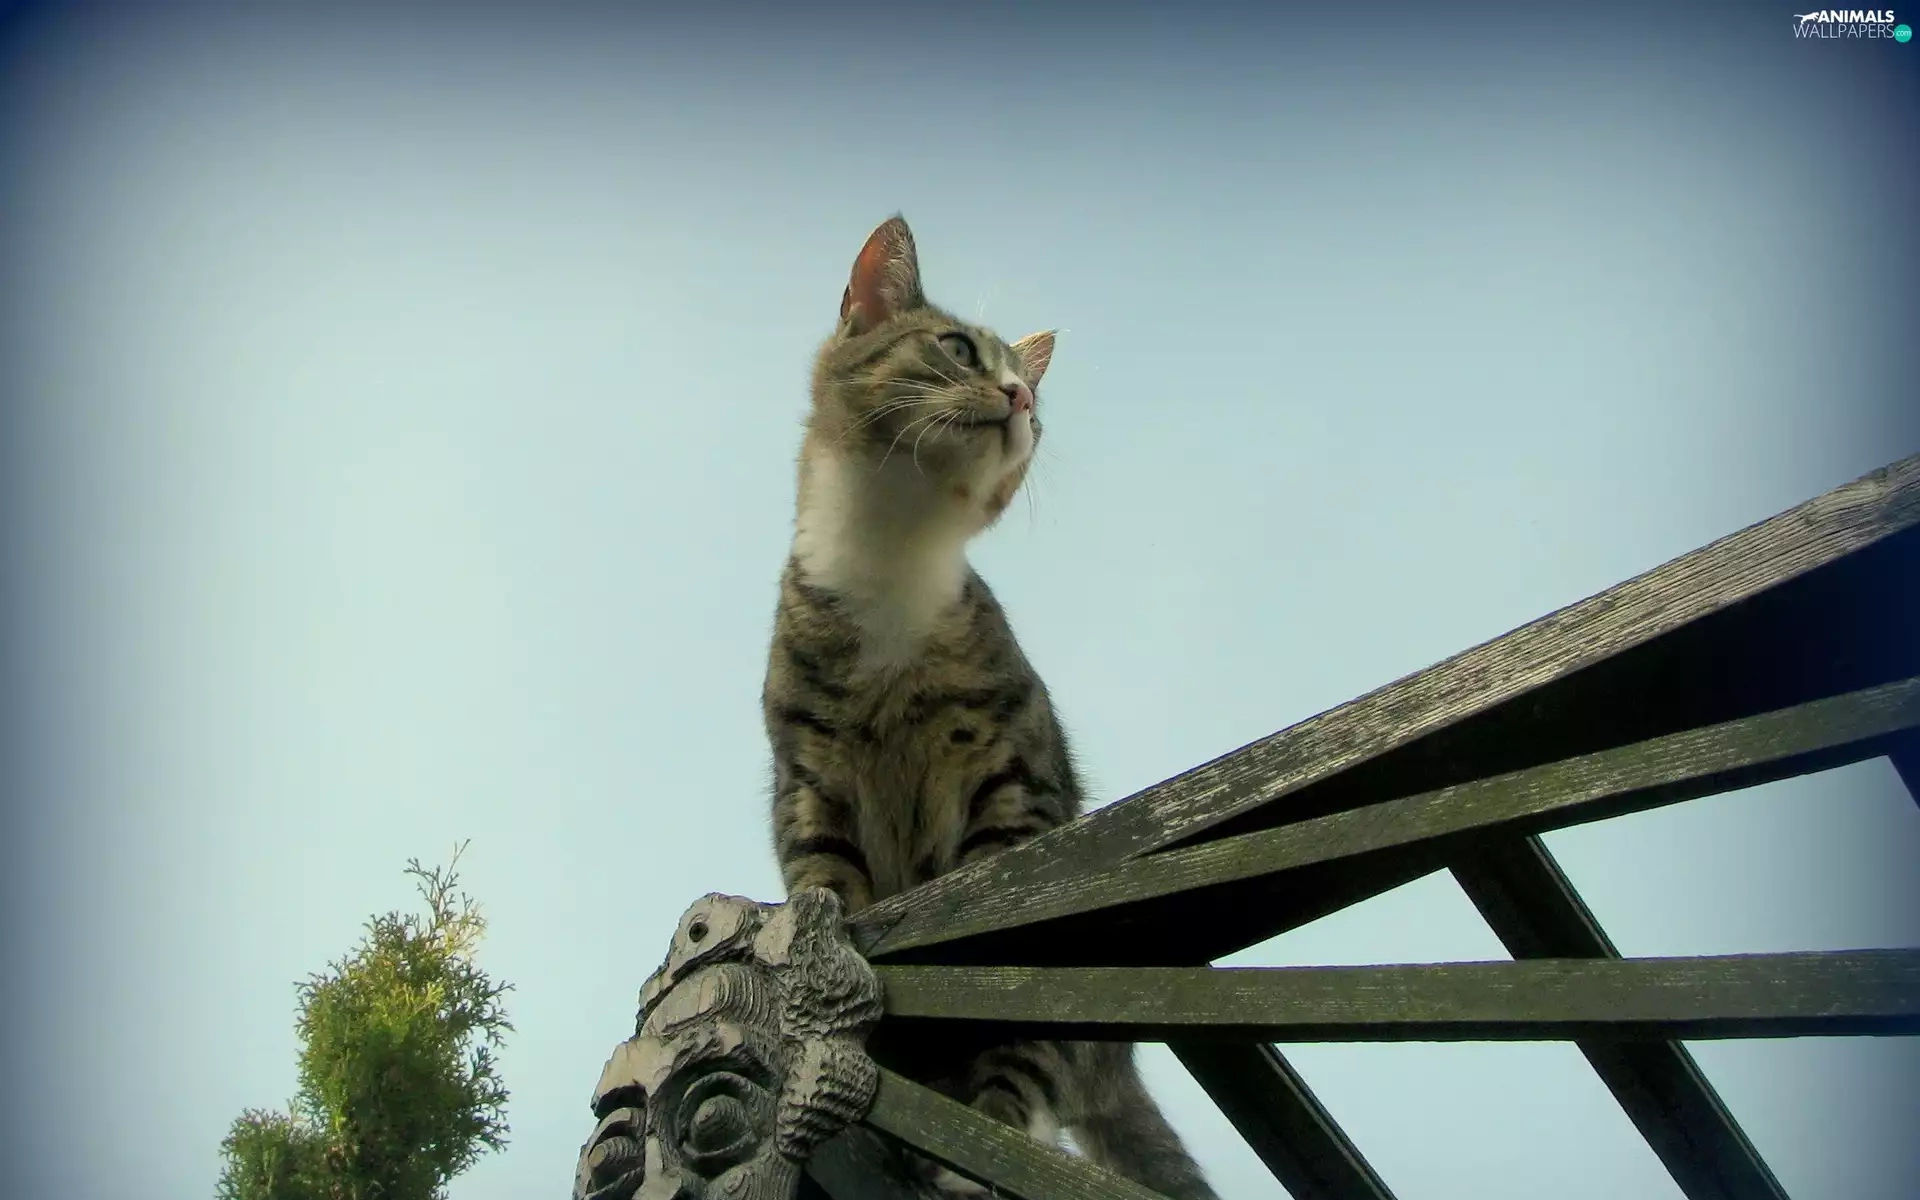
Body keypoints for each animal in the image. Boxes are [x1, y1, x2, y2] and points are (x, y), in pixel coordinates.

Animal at [762, 215, 1218, 1200]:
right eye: (960, 348)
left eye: (1034, 396)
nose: (1020, 396)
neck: (893, 564)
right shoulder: (808, 782)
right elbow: (826, 889)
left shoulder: (1017, 777)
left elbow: (995, 966)